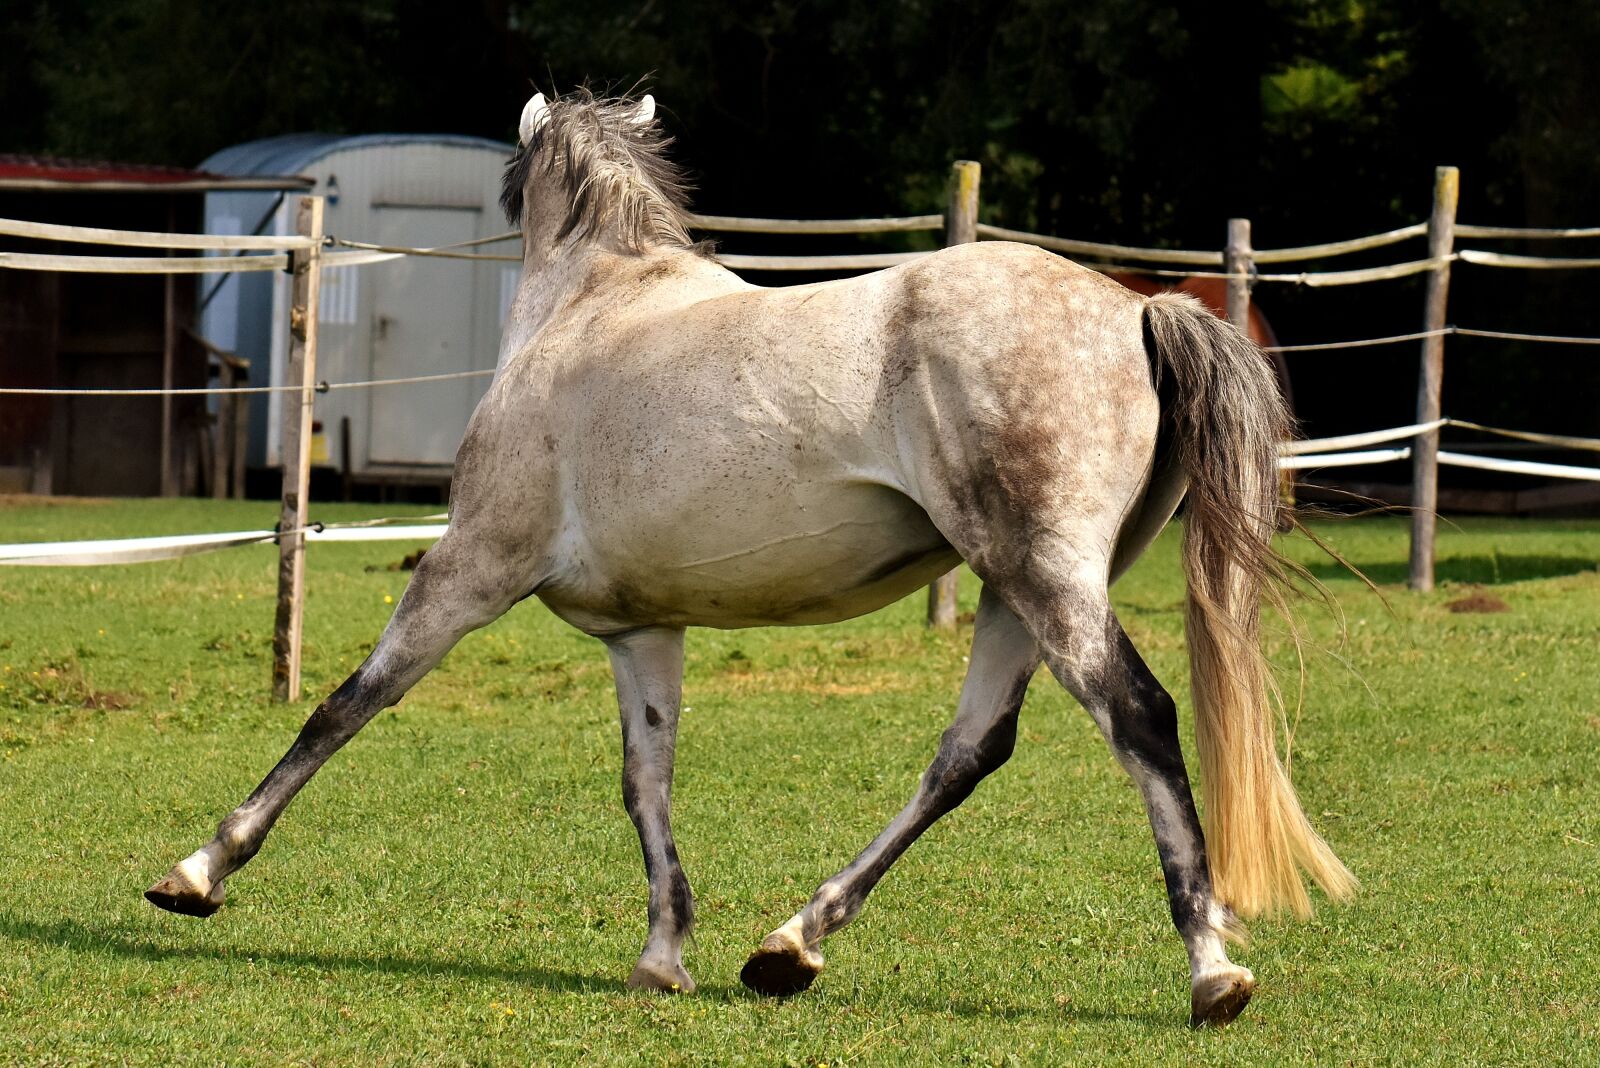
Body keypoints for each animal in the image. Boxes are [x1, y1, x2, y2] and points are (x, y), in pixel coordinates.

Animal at [145, 89, 1354, 1027]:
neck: (591, 307)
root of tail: (1138, 310)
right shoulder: (642, 631)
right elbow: (647, 779)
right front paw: (663, 957)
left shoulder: (468, 570)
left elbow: (345, 706)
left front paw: (198, 872)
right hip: (1016, 591)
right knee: (968, 753)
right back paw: (790, 945)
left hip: (1047, 581)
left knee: (1138, 716)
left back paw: (1211, 972)